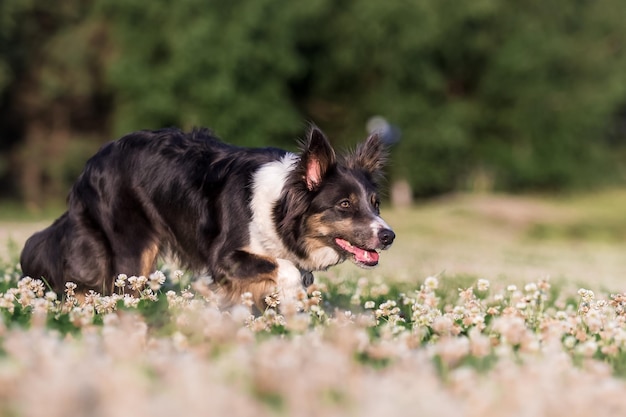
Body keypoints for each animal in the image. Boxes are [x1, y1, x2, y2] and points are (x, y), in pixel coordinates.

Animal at [20, 126, 394, 306]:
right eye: (344, 204)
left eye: (375, 204)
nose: (388, 236)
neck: (280, 208)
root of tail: (90, 166)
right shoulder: (224, 257)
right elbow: (286, 269)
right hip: (132, 248)